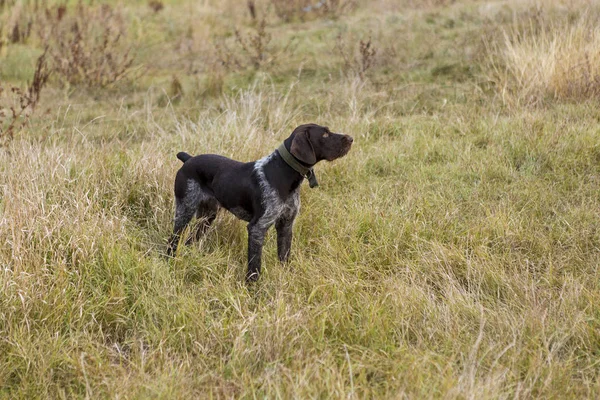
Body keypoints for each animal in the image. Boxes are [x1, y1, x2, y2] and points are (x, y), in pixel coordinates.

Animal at [168, 123, 352, 282]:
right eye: (325, 134)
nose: (351, 138)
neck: (284, 173)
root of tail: (189, 159)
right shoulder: (257, 227)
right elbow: (255, 265)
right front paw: (253, 289)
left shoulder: (286, 225)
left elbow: (284, 256)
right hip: (185, 210)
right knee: (173, 240)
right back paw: (169, 261)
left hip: (207, 216)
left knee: (190, 240)